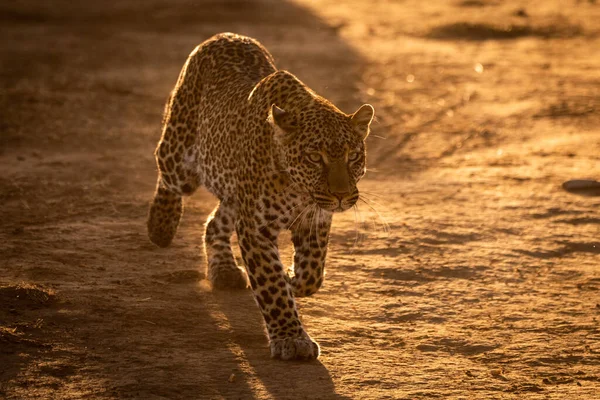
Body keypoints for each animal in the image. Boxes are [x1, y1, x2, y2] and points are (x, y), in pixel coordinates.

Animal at [148, 32, 372, 360]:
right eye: (315, 158)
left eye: (353, 156)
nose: (342, 195)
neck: (297, 189)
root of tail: (226, 35)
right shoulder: (255, 227)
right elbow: (272, 286)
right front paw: (292, 339)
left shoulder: (315, 218)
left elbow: (312, 273)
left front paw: (294, 279)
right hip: (181, 156)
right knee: (165, 169)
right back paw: (160, 226)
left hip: (234, 193)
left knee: (215, 222)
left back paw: (224, 270)